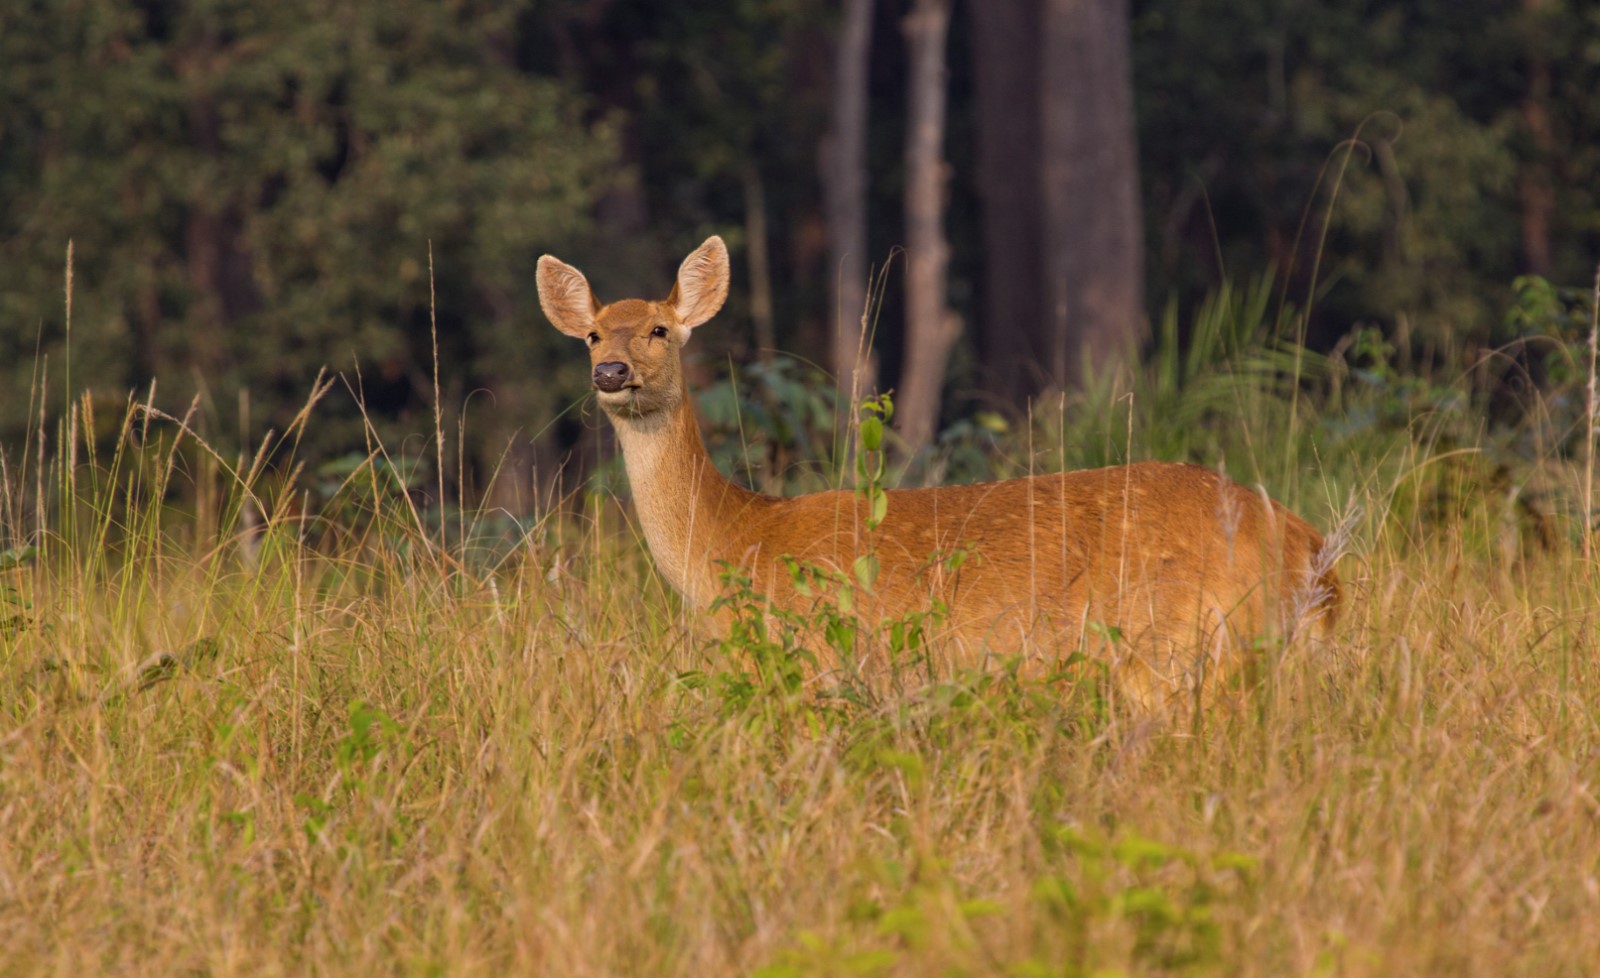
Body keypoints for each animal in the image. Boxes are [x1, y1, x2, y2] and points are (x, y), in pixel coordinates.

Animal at [537, 236, 1337, 710]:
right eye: (592, 334)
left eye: (660, 329)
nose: (612, 372)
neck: (733, 537)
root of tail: (1310, 547)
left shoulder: (811, 665)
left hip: (1186, 648)